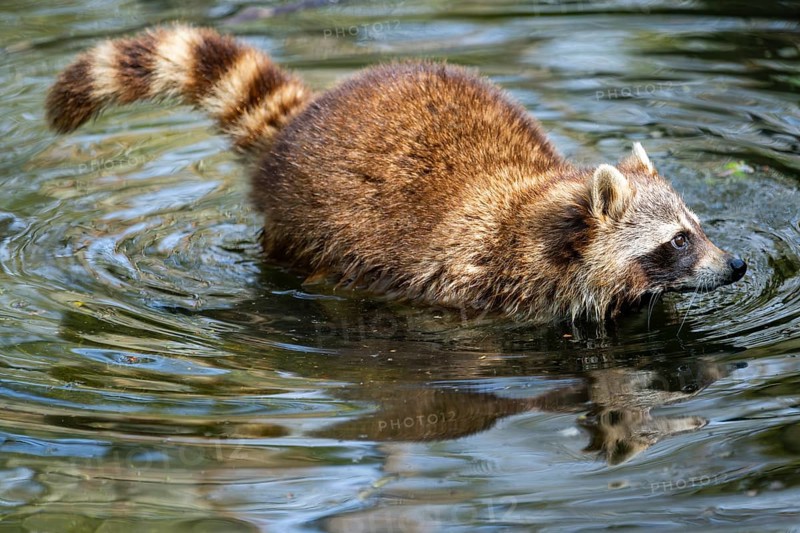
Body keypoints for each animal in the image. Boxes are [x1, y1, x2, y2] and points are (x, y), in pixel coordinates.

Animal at [46, 24, 747, 323]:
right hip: (304, 224)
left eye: (698, 225)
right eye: (678, 241)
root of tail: (303, 119)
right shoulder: (474, 283)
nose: (738, 265)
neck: (547, 209)